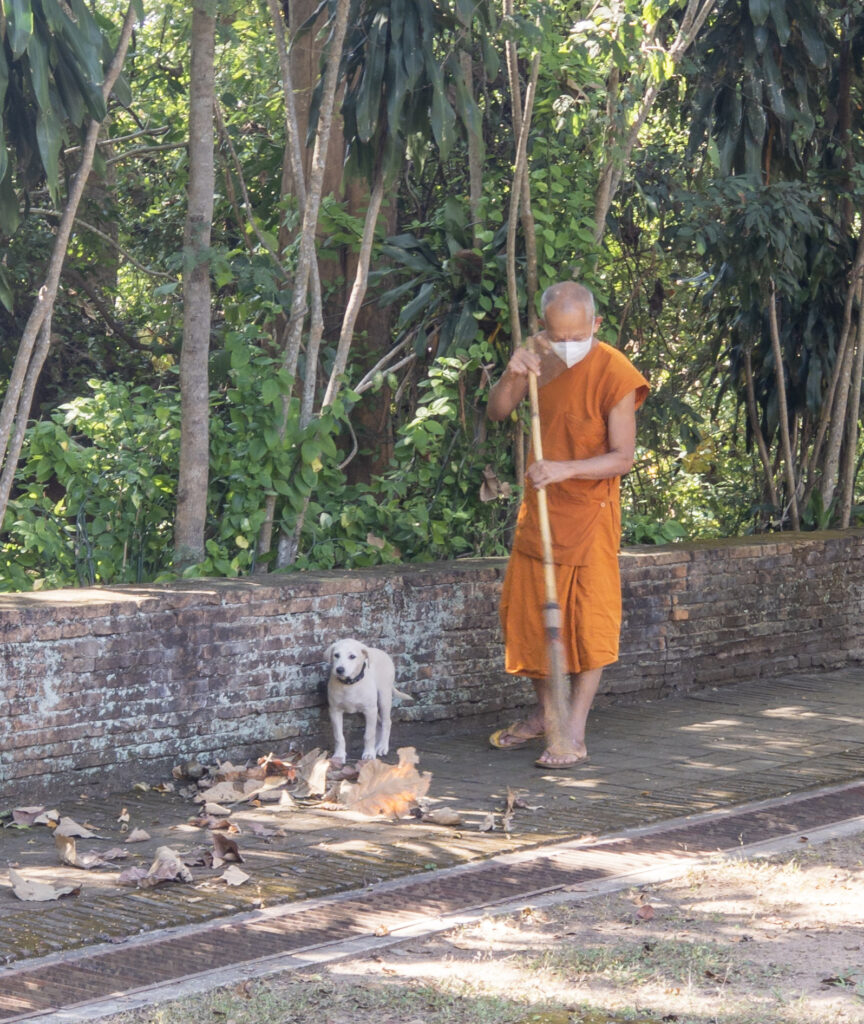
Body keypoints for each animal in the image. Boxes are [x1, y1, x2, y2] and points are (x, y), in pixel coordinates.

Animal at [323, 634, 411, 765]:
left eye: (352, 656)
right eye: (336, 655)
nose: (339, 670)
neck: (349, 685)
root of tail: (382, 652)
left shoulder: (370, 710)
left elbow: (369, 734)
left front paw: (369, 754)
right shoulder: (334, 711)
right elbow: (338, 736)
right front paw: (339, 756)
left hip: (383, 698)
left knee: (386, 722)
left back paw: (382, 747)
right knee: (379, 723)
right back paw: (377, 745)